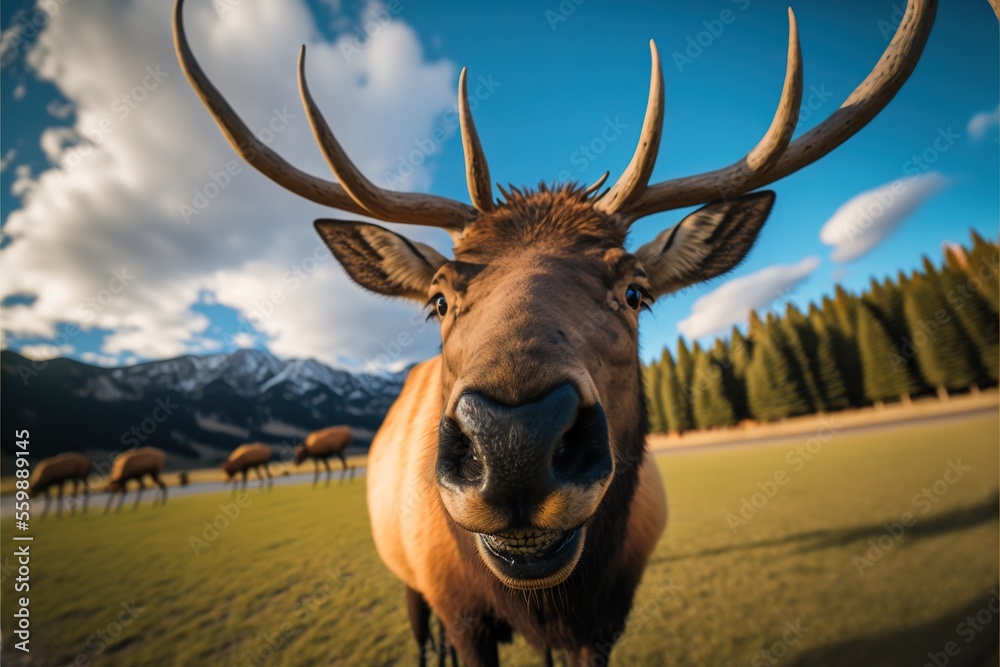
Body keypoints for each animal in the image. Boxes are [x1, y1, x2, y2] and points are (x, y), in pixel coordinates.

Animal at [174, 1, 936, 664]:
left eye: (635, 291)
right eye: (439, 299)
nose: (515, 443)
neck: (547, 600)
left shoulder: (604, 621)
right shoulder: (461, 613)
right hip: (407, 580)